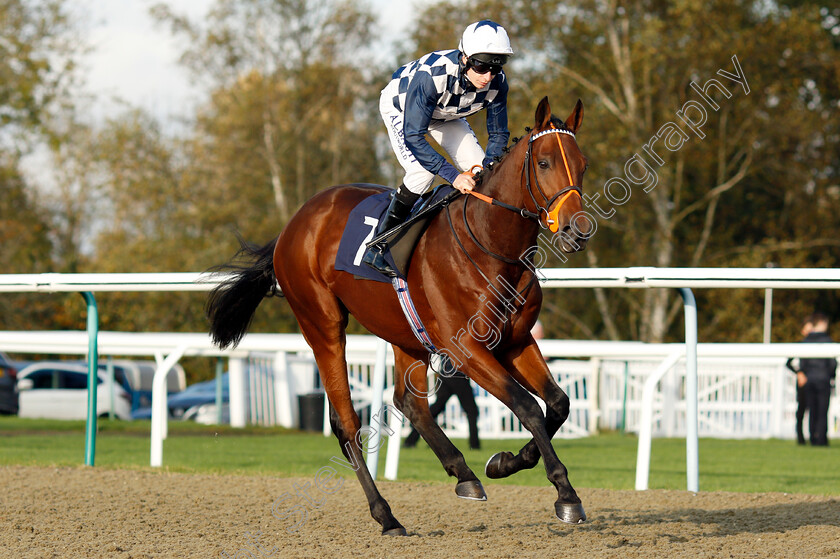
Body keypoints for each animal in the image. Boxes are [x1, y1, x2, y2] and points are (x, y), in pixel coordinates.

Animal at [208, 96, 592, 532]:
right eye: (543, 163)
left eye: (583, 164)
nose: (578, 230)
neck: (490, 245)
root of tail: (295, 222)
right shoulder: (466, 349)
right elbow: (527, 407)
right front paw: (566, 495)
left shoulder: (516, 340)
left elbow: (557, 404)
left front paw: (505, 462)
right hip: (322, 324)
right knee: (346, 422)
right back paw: (385, 514)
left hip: (404, 331)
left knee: (409, 402)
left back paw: (464, 473)